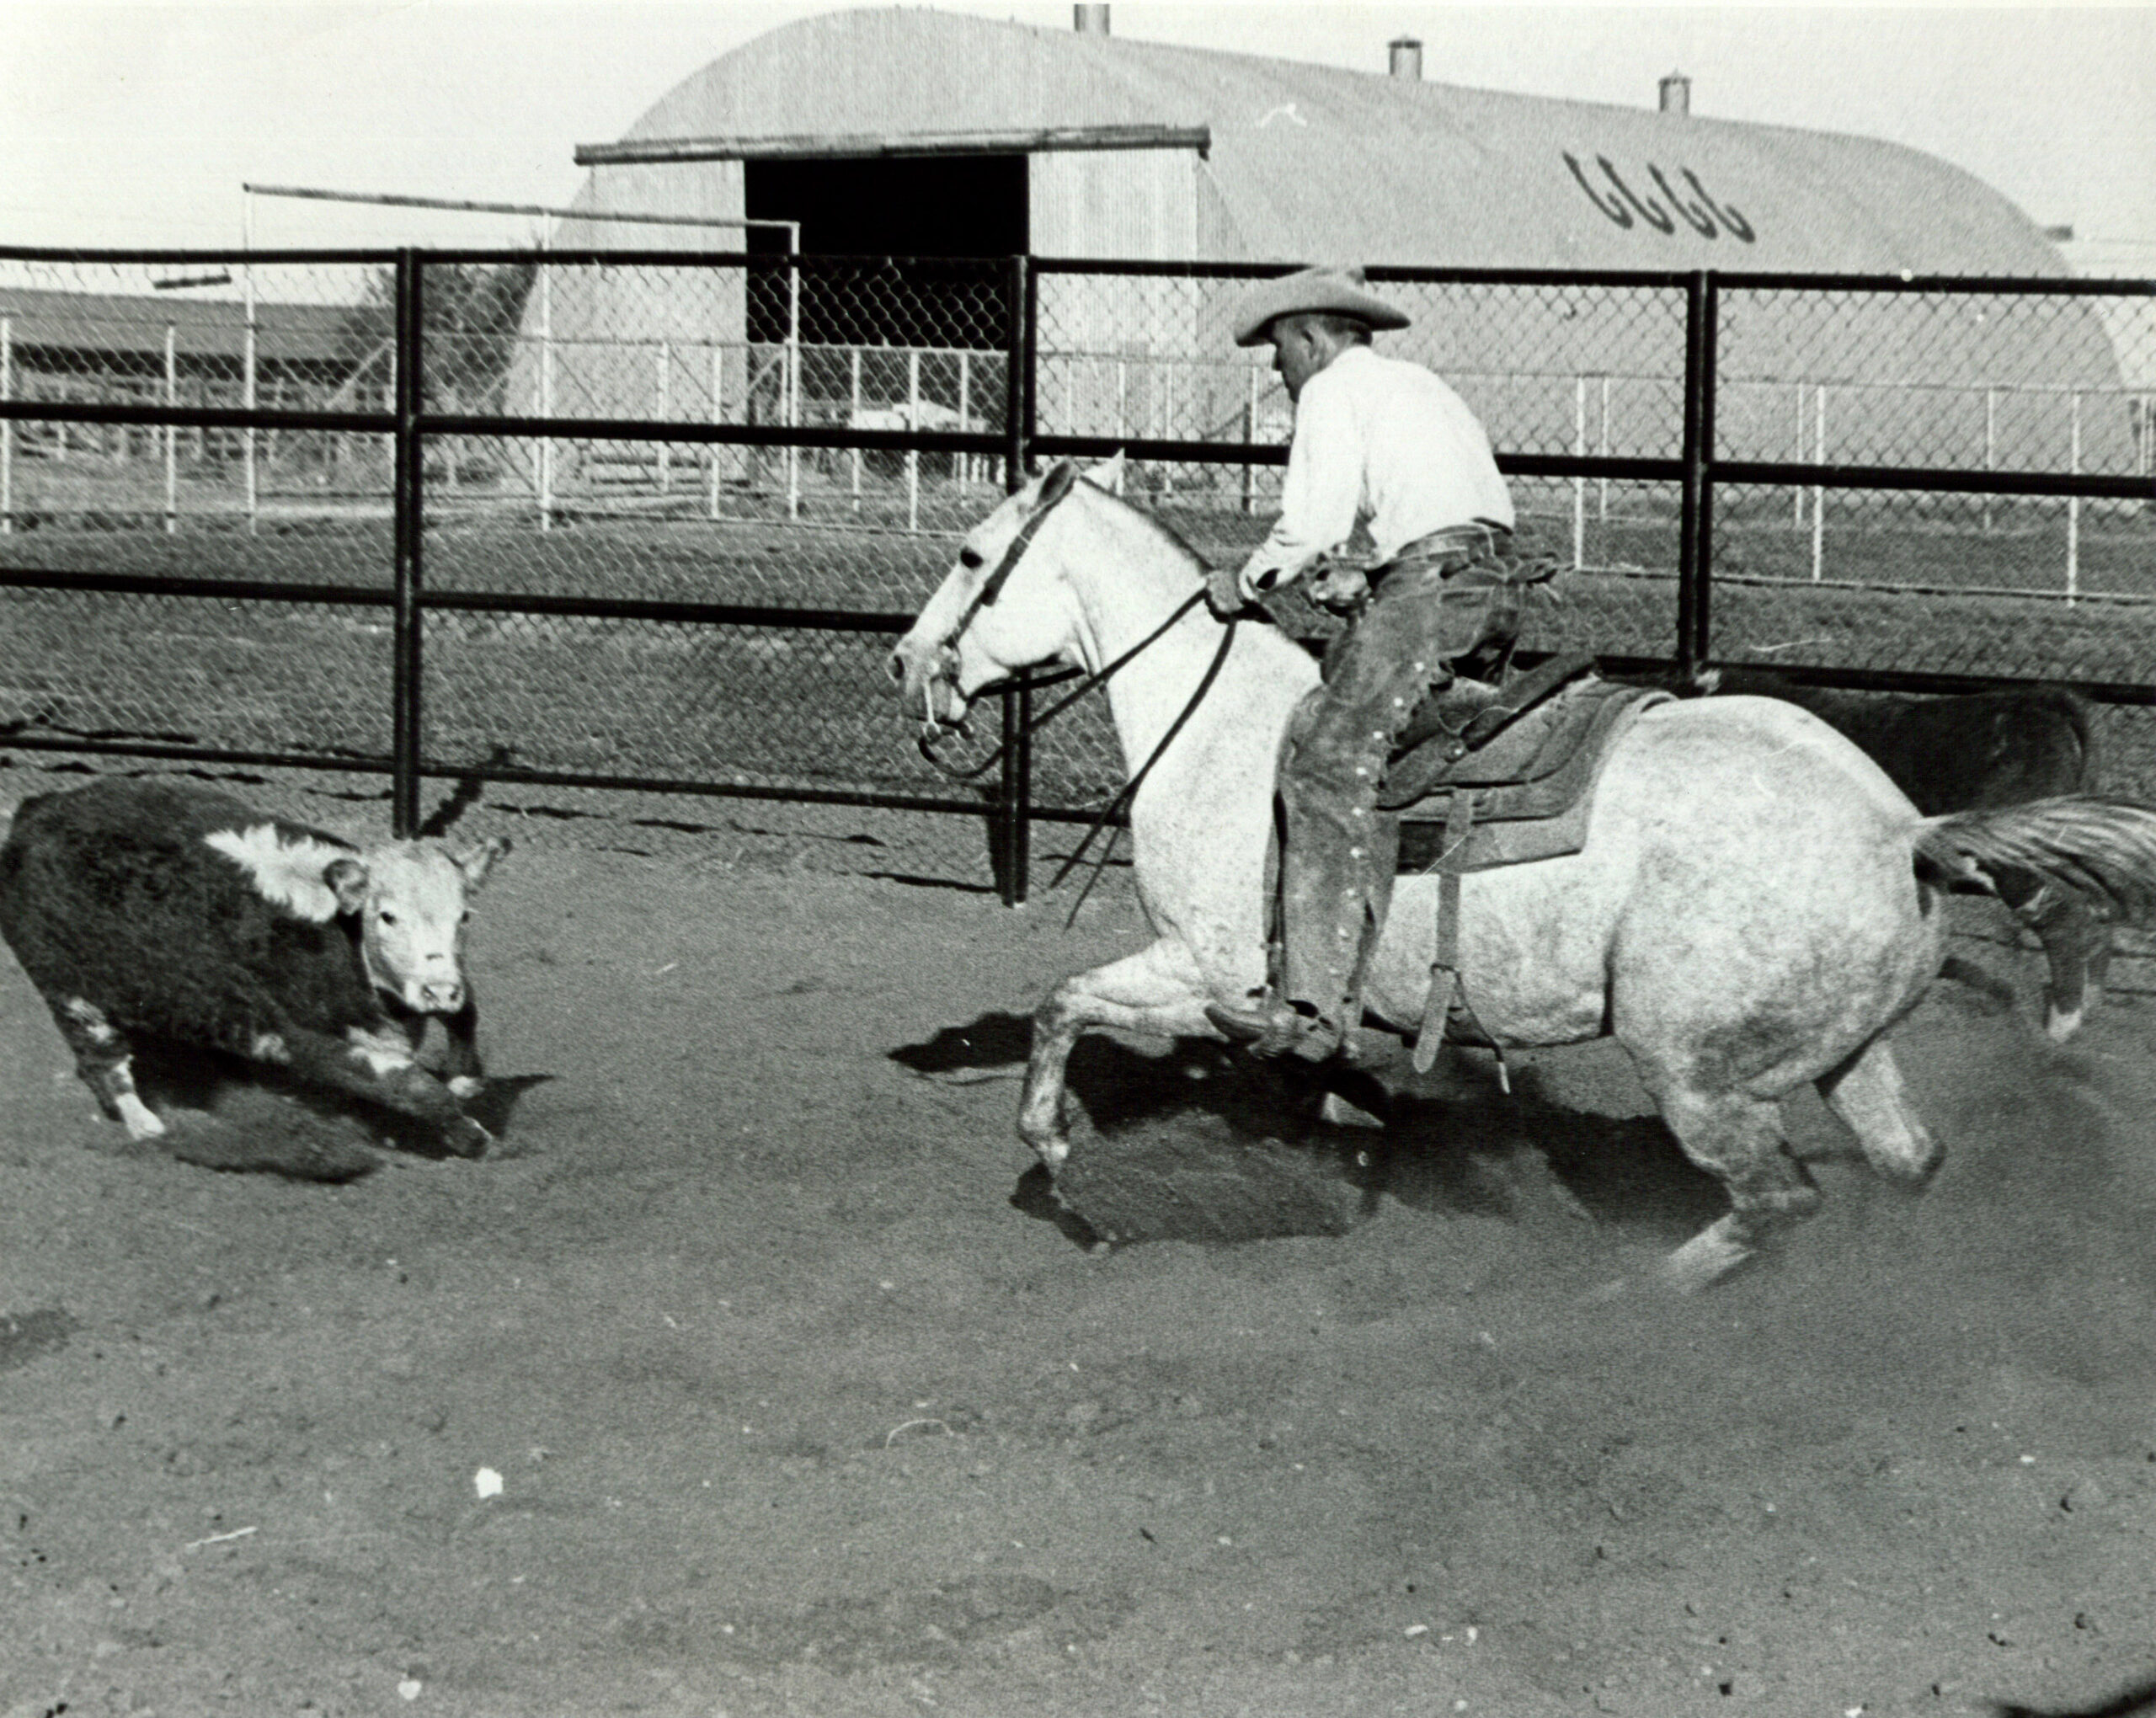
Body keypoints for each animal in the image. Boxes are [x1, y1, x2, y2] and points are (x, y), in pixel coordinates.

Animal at [0, 784, 509, 1155]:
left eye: (464, 916)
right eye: (387, 916)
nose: (437, 990)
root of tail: (35, 810)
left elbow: (467, 1015)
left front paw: (465, 1078)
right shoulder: (312, 1040)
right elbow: (416, 1087)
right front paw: (471, 1136)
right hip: (71, 993)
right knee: (104, 1060)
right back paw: (147, 1126)